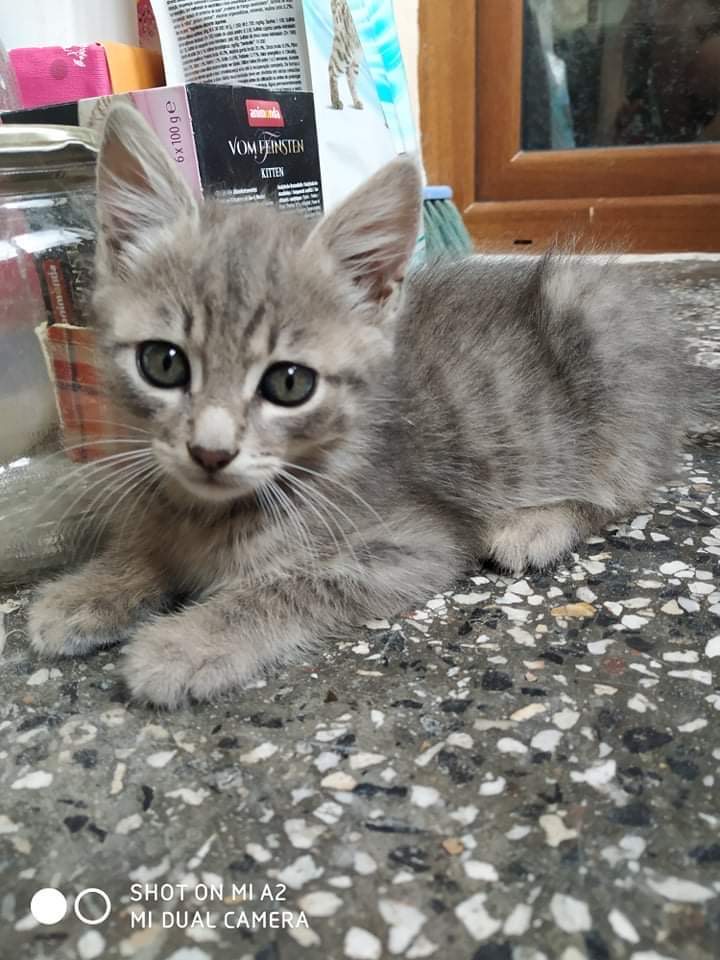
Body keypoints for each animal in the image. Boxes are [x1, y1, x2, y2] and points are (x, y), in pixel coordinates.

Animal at [28, 103, 694, 708]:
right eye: (163, 363)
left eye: (289, 383)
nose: (210, 452)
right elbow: (150, 542)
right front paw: (93, 588)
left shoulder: (415, 545)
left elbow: (292, 586)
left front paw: (187, 643)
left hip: (595, 325)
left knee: (630, 486)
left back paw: (536, 525)